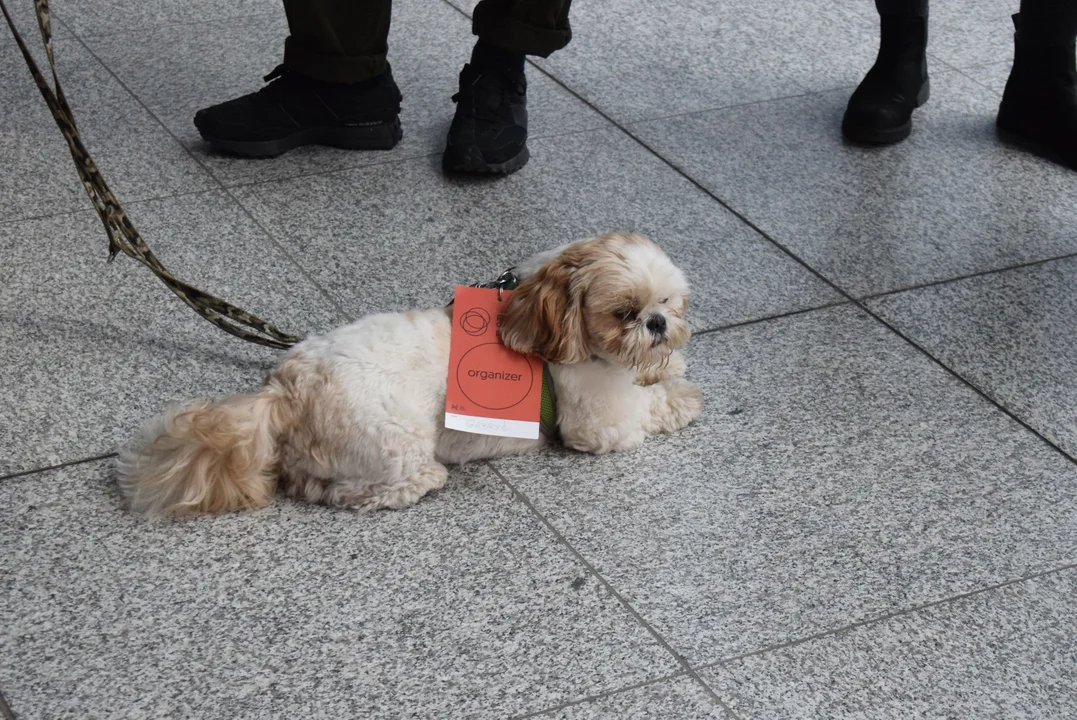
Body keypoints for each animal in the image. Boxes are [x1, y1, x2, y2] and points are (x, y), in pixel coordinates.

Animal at [120, 235, 706, 516]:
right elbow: (645, 407)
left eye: (667, 303)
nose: (657, 324)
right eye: (623, 313)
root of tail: (284, 393)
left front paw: (669, 364)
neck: (541, 314)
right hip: (394, 441)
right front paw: (681, 394)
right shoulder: (598, 417)